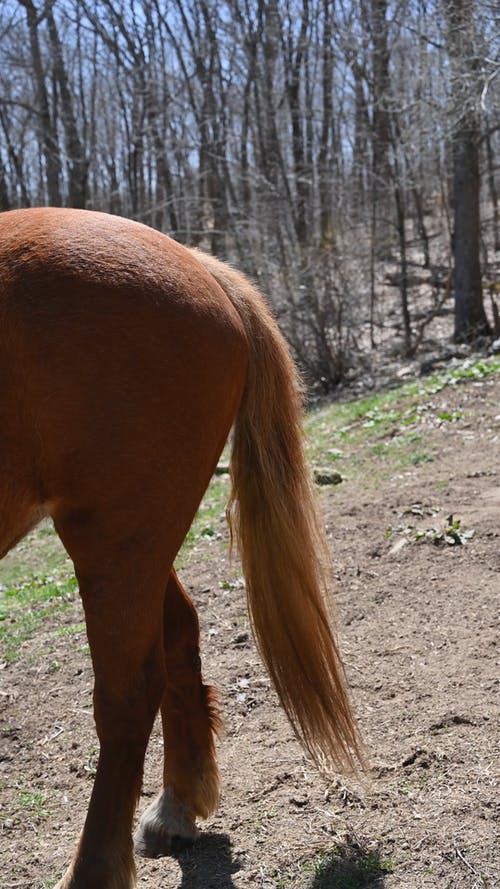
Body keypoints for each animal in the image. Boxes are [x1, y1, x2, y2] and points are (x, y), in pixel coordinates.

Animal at [0, 208, 360, 888]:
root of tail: (198, 265)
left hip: (116, 536)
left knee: (129, 690)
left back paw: (95, 868)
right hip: (134, 537)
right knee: (178, 638)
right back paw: (176, 809)